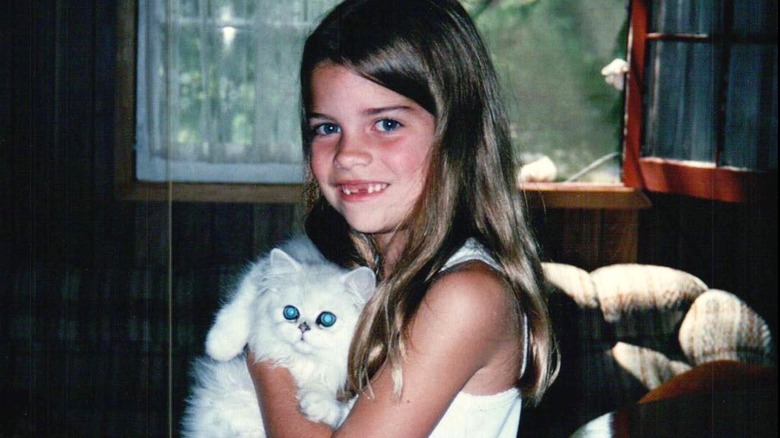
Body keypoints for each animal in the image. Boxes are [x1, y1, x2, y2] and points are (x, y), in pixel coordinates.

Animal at [183, 238, 378, 436]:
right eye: (290, 312)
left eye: (327, 319)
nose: (303, 326)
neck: (298, 361)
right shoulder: (260, 271)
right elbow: (242, 306)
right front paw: (219, 346)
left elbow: (323, 385)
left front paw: (320, 407)